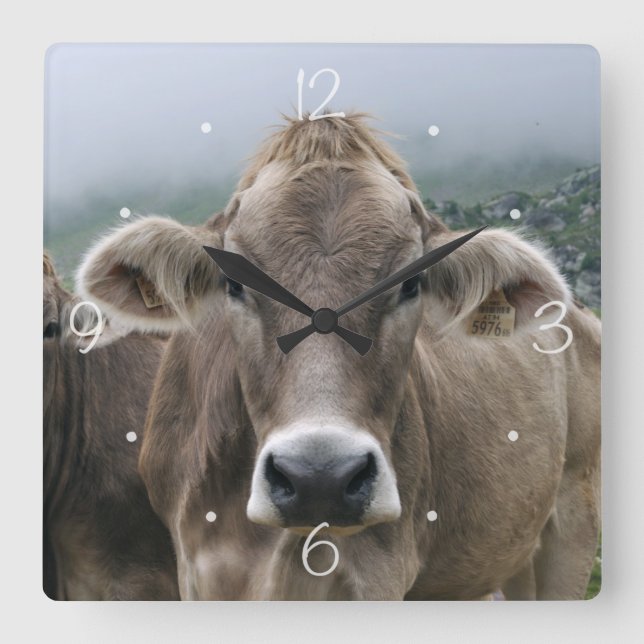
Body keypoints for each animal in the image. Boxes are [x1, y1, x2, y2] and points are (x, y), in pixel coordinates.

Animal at [76, 113, 601, 600]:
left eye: (412, 283)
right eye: (234, 282)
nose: (320, 478)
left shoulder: (379, 574)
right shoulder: (192, 569)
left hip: (572, 519)